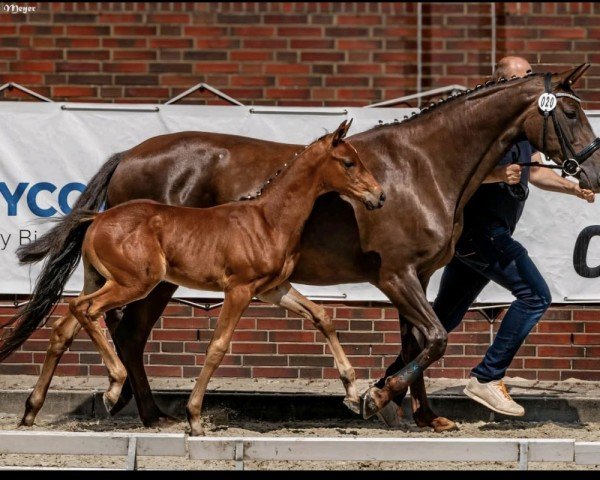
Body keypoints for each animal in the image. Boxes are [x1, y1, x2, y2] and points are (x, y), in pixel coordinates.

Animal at [67, 120, 384, 436]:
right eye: (349, 162)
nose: (379, 196)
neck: (269, 220)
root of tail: (97, 219)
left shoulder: (274, 289)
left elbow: (322, 316)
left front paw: (353, 395)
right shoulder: (239, 289)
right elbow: (217, 346)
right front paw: (194, 418)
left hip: (105, 280)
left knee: (76, 313)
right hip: (135, 283)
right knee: (87, 309)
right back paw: (114, 391)